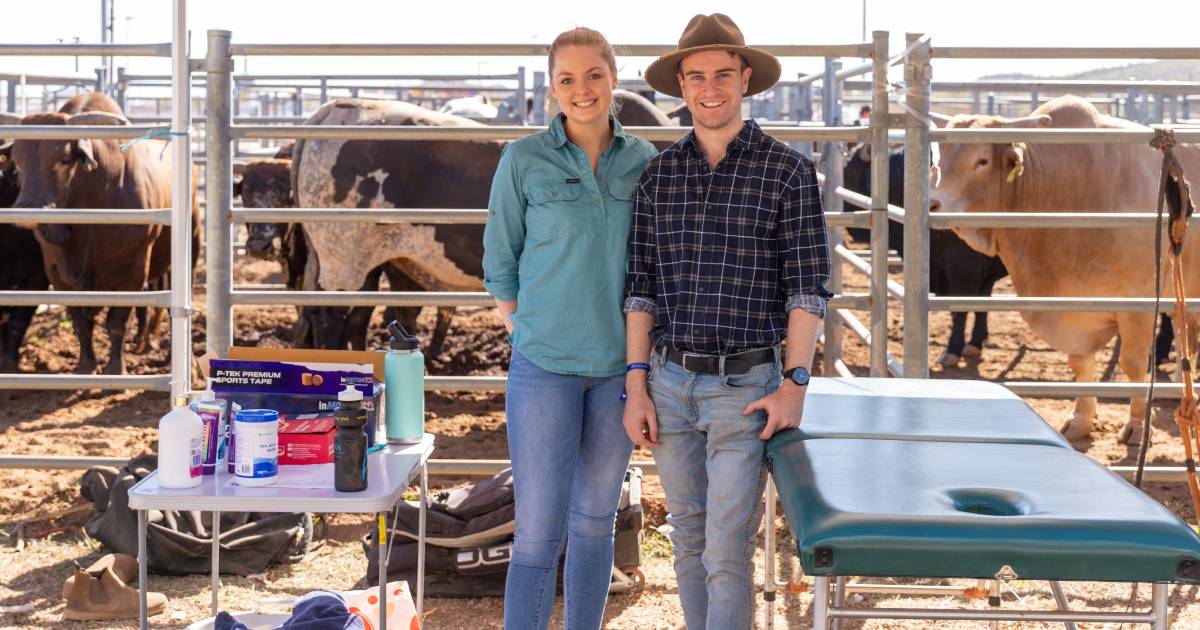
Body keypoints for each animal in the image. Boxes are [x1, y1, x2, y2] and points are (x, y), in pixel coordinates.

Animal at [9, 90, 199, 372]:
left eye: (64, 158)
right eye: (19, 162)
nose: (29, 208)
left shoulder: (133, 269)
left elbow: (117, 322)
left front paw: (116, 370)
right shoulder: (56, 272)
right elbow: (81, 323)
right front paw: (86, 367)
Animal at [931, 96, 1200, 444]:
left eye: (981, 160)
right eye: (941, 156)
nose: (934, 203)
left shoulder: (1138, 305)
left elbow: (1133, 364)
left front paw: (1138, 425)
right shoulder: (1069, 306)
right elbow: (1079, 364)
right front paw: (1082, 420)